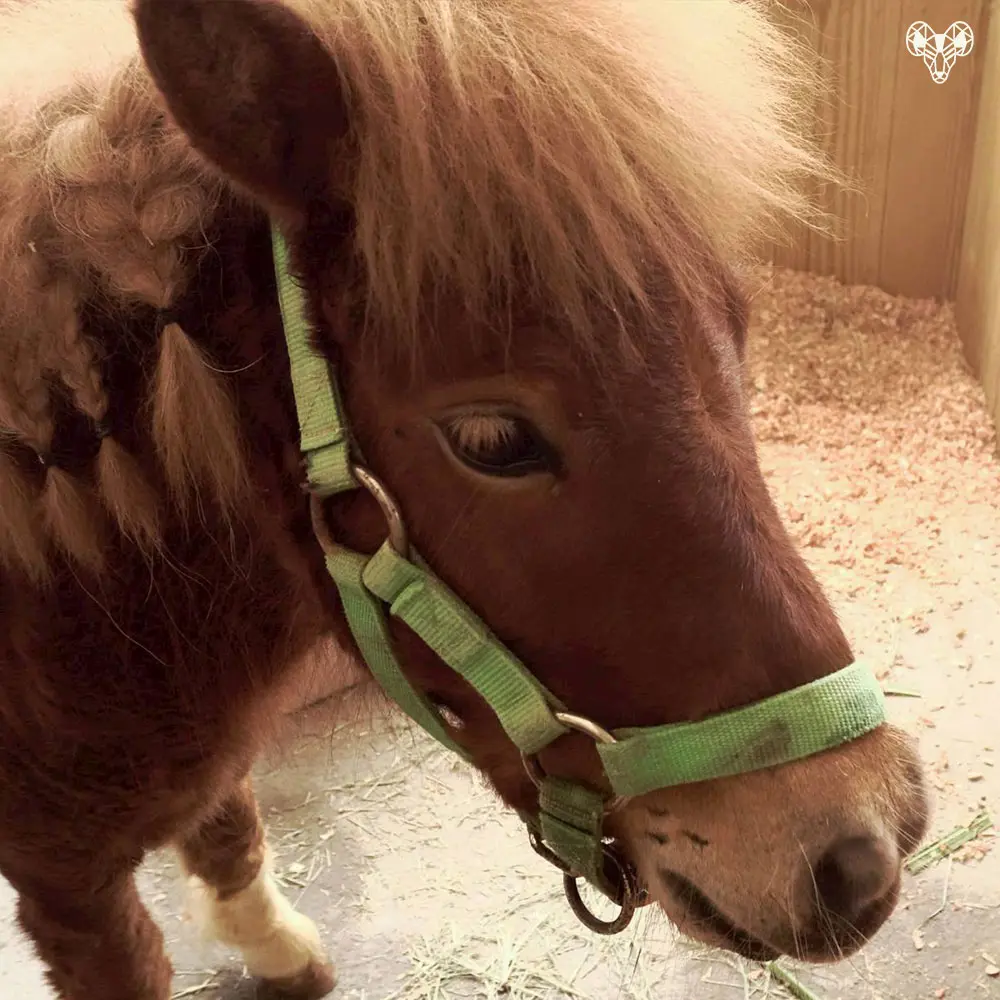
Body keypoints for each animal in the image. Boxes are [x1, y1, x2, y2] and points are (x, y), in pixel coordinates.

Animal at [0, 0, 929, 997]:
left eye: (738, 330)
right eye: (491, 440)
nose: (865, 851)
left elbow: (229, 819)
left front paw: (272, 943)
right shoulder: (68, 887)